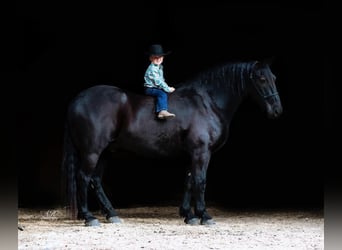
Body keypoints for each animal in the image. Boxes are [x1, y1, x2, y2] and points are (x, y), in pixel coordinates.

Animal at [62, 59, 284, 227]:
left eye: (274, 78)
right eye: (261, 78)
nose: (277, 110)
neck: (206, 102)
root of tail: (77, 100)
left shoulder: (192, 154)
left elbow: (189, 181)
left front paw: (188, 215)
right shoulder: (201, 153)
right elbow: (200, 181)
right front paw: (204, 215)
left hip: (105, 152)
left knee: (95, 180)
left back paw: (111, 214)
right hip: (92, 151)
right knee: (83, 177)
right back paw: (89, 217)